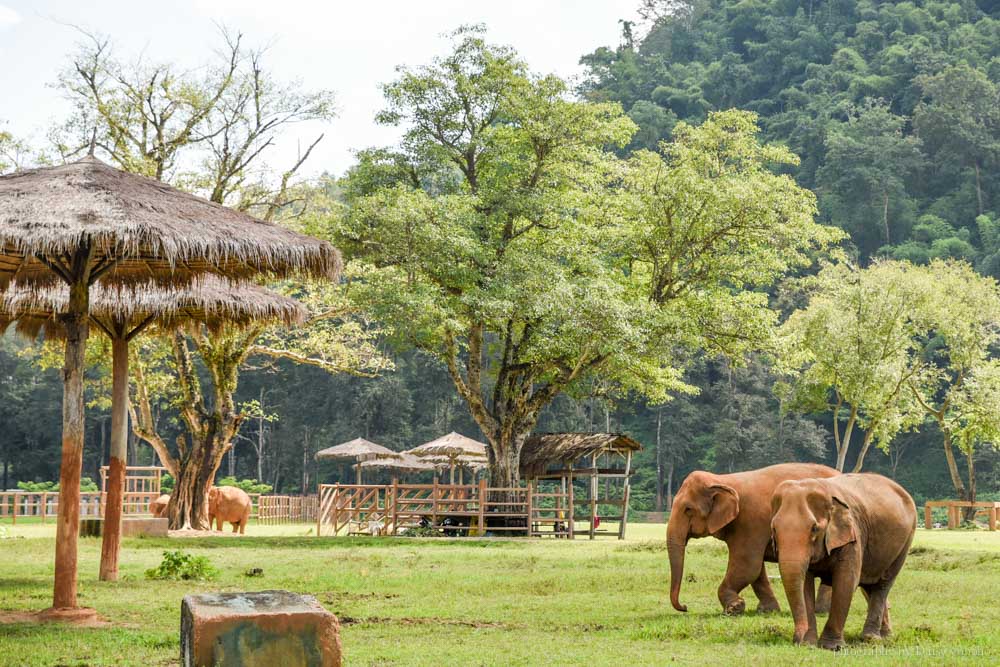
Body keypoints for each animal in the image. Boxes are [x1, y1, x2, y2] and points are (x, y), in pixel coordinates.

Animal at [668, 464, 840, 616]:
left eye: (688, 509)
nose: (685, 607)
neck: (723, 479)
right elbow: (756, 570)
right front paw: (767, 611)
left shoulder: (751, 521)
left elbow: (748, 565)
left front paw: (734, 608)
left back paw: (821, 611)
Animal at [768, 472, 916, 648]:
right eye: (774, 528)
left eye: (814, 528)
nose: (797, 640)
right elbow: (805, 585)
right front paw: (809, 643)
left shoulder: (853, 535)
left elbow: (846, 581)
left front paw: (831, 647)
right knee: (869, 586)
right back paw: (885, 637)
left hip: (905, 542)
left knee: (883, 584)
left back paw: (871, 638)